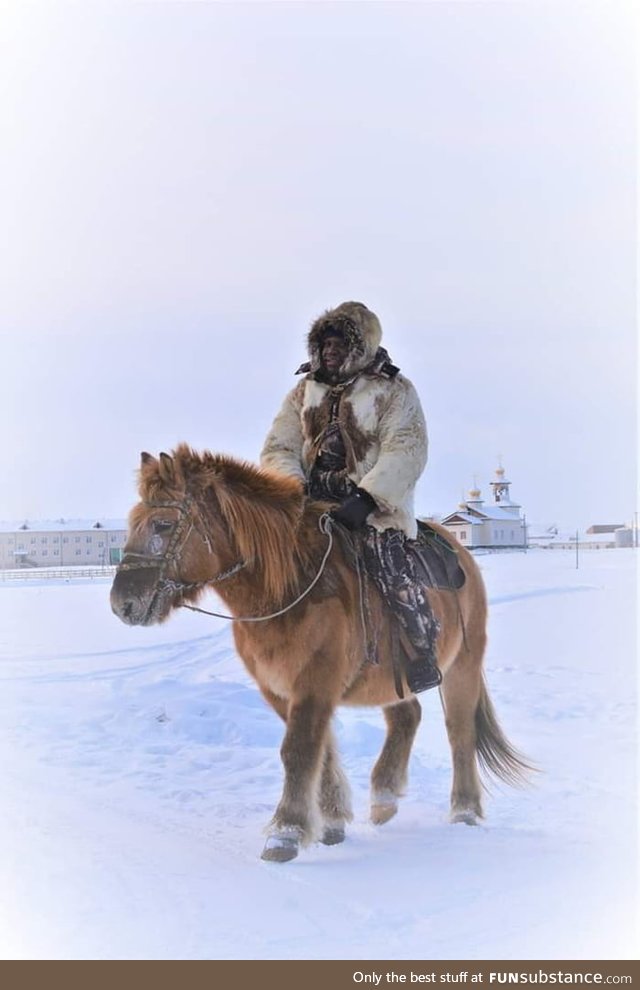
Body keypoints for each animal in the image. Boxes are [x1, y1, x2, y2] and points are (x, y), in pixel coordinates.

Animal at [110, 446, 528, 864]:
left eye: (163, 524)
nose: (122, 604)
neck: (289, 585)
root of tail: (460, 553)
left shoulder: (314, 684)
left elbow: (299, 750)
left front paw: (286, 833)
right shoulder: (280, 690)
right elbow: (320, 749)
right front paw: (331, 822)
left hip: (462, 665)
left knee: (459, 731)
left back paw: (464, 811)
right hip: (394, 678)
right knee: (407, 717)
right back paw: (384, 798)